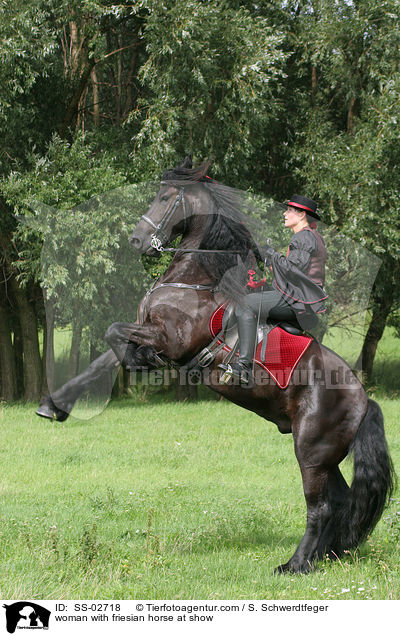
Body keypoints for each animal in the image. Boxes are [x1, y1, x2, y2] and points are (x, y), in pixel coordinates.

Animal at [37, 158, 394, 572]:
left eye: (165, 197)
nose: (137, 241)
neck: (193, 281)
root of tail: (363, 399)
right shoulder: (145, 329)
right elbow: (102, 359)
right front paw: (53, 405)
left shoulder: (169, 339)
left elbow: (114, 335)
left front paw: (141, 363)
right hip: (325, 455)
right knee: (339, 502)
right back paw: (320, 557)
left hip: (311, 451)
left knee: (319, 507)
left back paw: (293, 565)